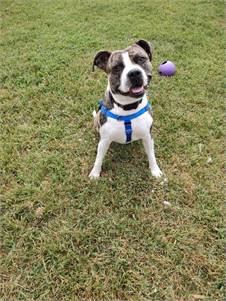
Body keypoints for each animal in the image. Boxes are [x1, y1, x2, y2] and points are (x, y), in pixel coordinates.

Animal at [88, 38, 162, 177]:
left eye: (141, 59)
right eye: (117, 67)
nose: (134, 73)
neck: (128, 107)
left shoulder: (148, 136)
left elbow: (151, 155)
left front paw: (155, 171)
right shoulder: (104, 140)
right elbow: (99, 158)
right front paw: (95, 174)